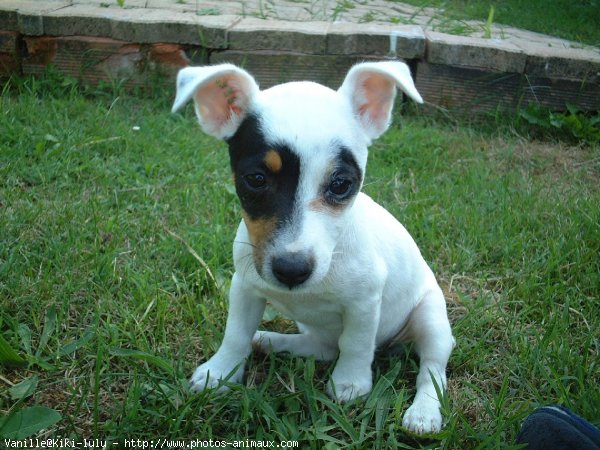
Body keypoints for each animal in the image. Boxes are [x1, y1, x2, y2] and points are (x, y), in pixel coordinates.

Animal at [173, 61, 454, 434]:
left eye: (341, 184)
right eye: (256, 179)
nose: (291, 270)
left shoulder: (365, 302)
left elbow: (356, 343)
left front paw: (350, 382)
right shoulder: (245, 287)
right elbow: (235, 333)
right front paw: (219, 372)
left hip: (432, 319)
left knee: (432, 370)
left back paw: (423, 413)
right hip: (314, 329)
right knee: (320, 348)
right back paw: (271, 341)